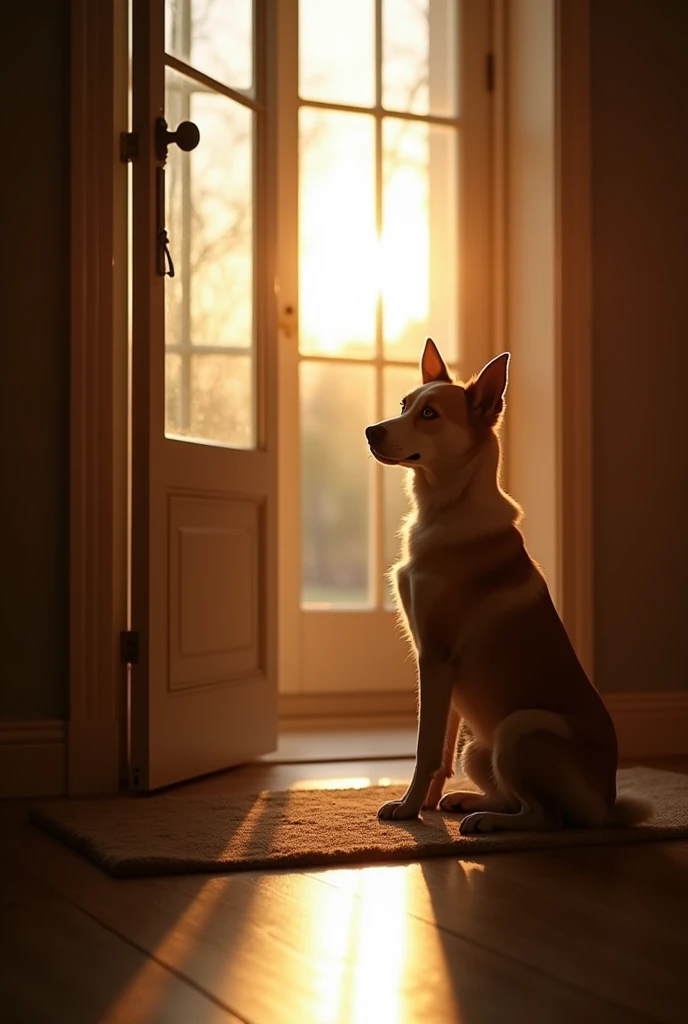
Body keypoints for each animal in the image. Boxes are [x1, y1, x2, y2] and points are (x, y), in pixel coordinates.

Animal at [364, 337, 651, 831]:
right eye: (404, 405)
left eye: (429, 414)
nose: (369, 431)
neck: (447, 507)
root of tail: (607, 803)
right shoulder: (442, 672)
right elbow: (440, 752)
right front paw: (424, 807)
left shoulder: (434, 657)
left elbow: (425, 749)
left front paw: (407, 808)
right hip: (482, 748)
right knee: (513, 795)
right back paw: (467, 802)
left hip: (518, 729)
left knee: (545, 816)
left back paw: (488, 822)